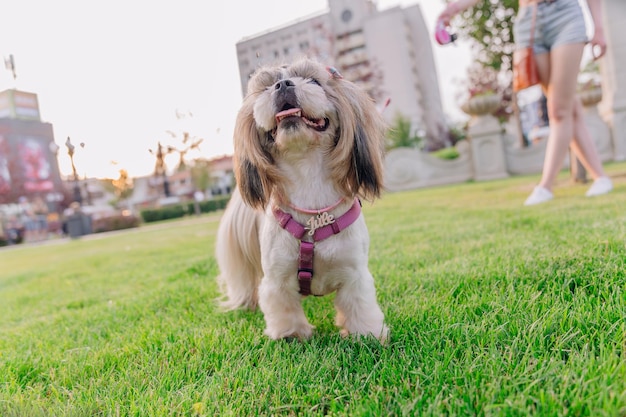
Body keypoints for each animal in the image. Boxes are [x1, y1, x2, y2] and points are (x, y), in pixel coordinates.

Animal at [217, 57, 388, 342]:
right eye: (266, 87)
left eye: (314, 81)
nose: (282, 84)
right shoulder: (276, 278)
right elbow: (283, 307)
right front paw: (291, 335)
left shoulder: (354, 273)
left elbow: (359, 305)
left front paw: (368, 335)